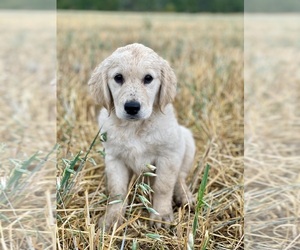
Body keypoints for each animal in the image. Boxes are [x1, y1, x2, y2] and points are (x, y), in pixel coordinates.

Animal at [88, 43, 196, 230]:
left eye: (148, 78)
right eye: (118, 78)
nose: (132, 107)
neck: (135, 128)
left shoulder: (169, 155)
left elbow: (163, 186)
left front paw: (161, 215)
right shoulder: (114, 158)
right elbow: (117, 191)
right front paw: (112, 218)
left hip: (187, 140)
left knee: (180, 177)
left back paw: (184, 196)